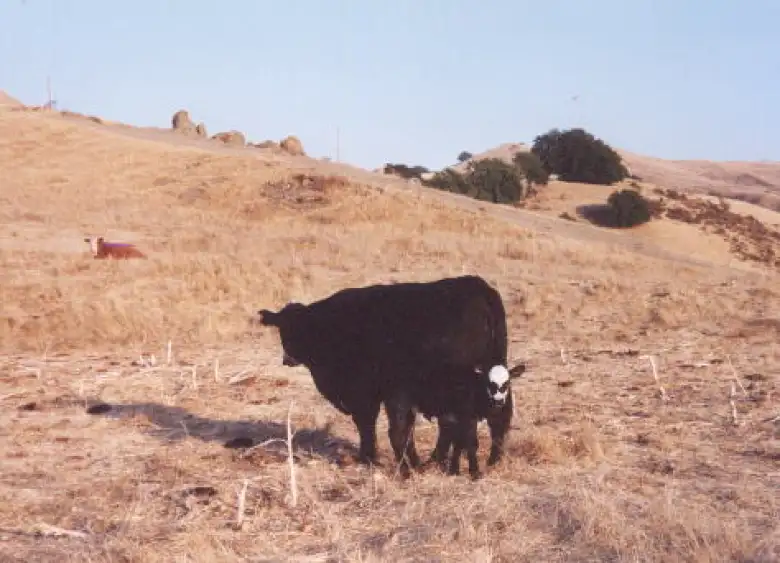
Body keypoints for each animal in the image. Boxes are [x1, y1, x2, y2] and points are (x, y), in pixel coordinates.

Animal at [256, 275, 523, 480]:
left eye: (296, 330)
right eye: (283, 328)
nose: (287, 359)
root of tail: (478, 287)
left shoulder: (365, 392)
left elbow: (370, 424)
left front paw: (369, 457)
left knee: (454, 426)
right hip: (493, 371)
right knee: (499, 417)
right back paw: (490, 460)